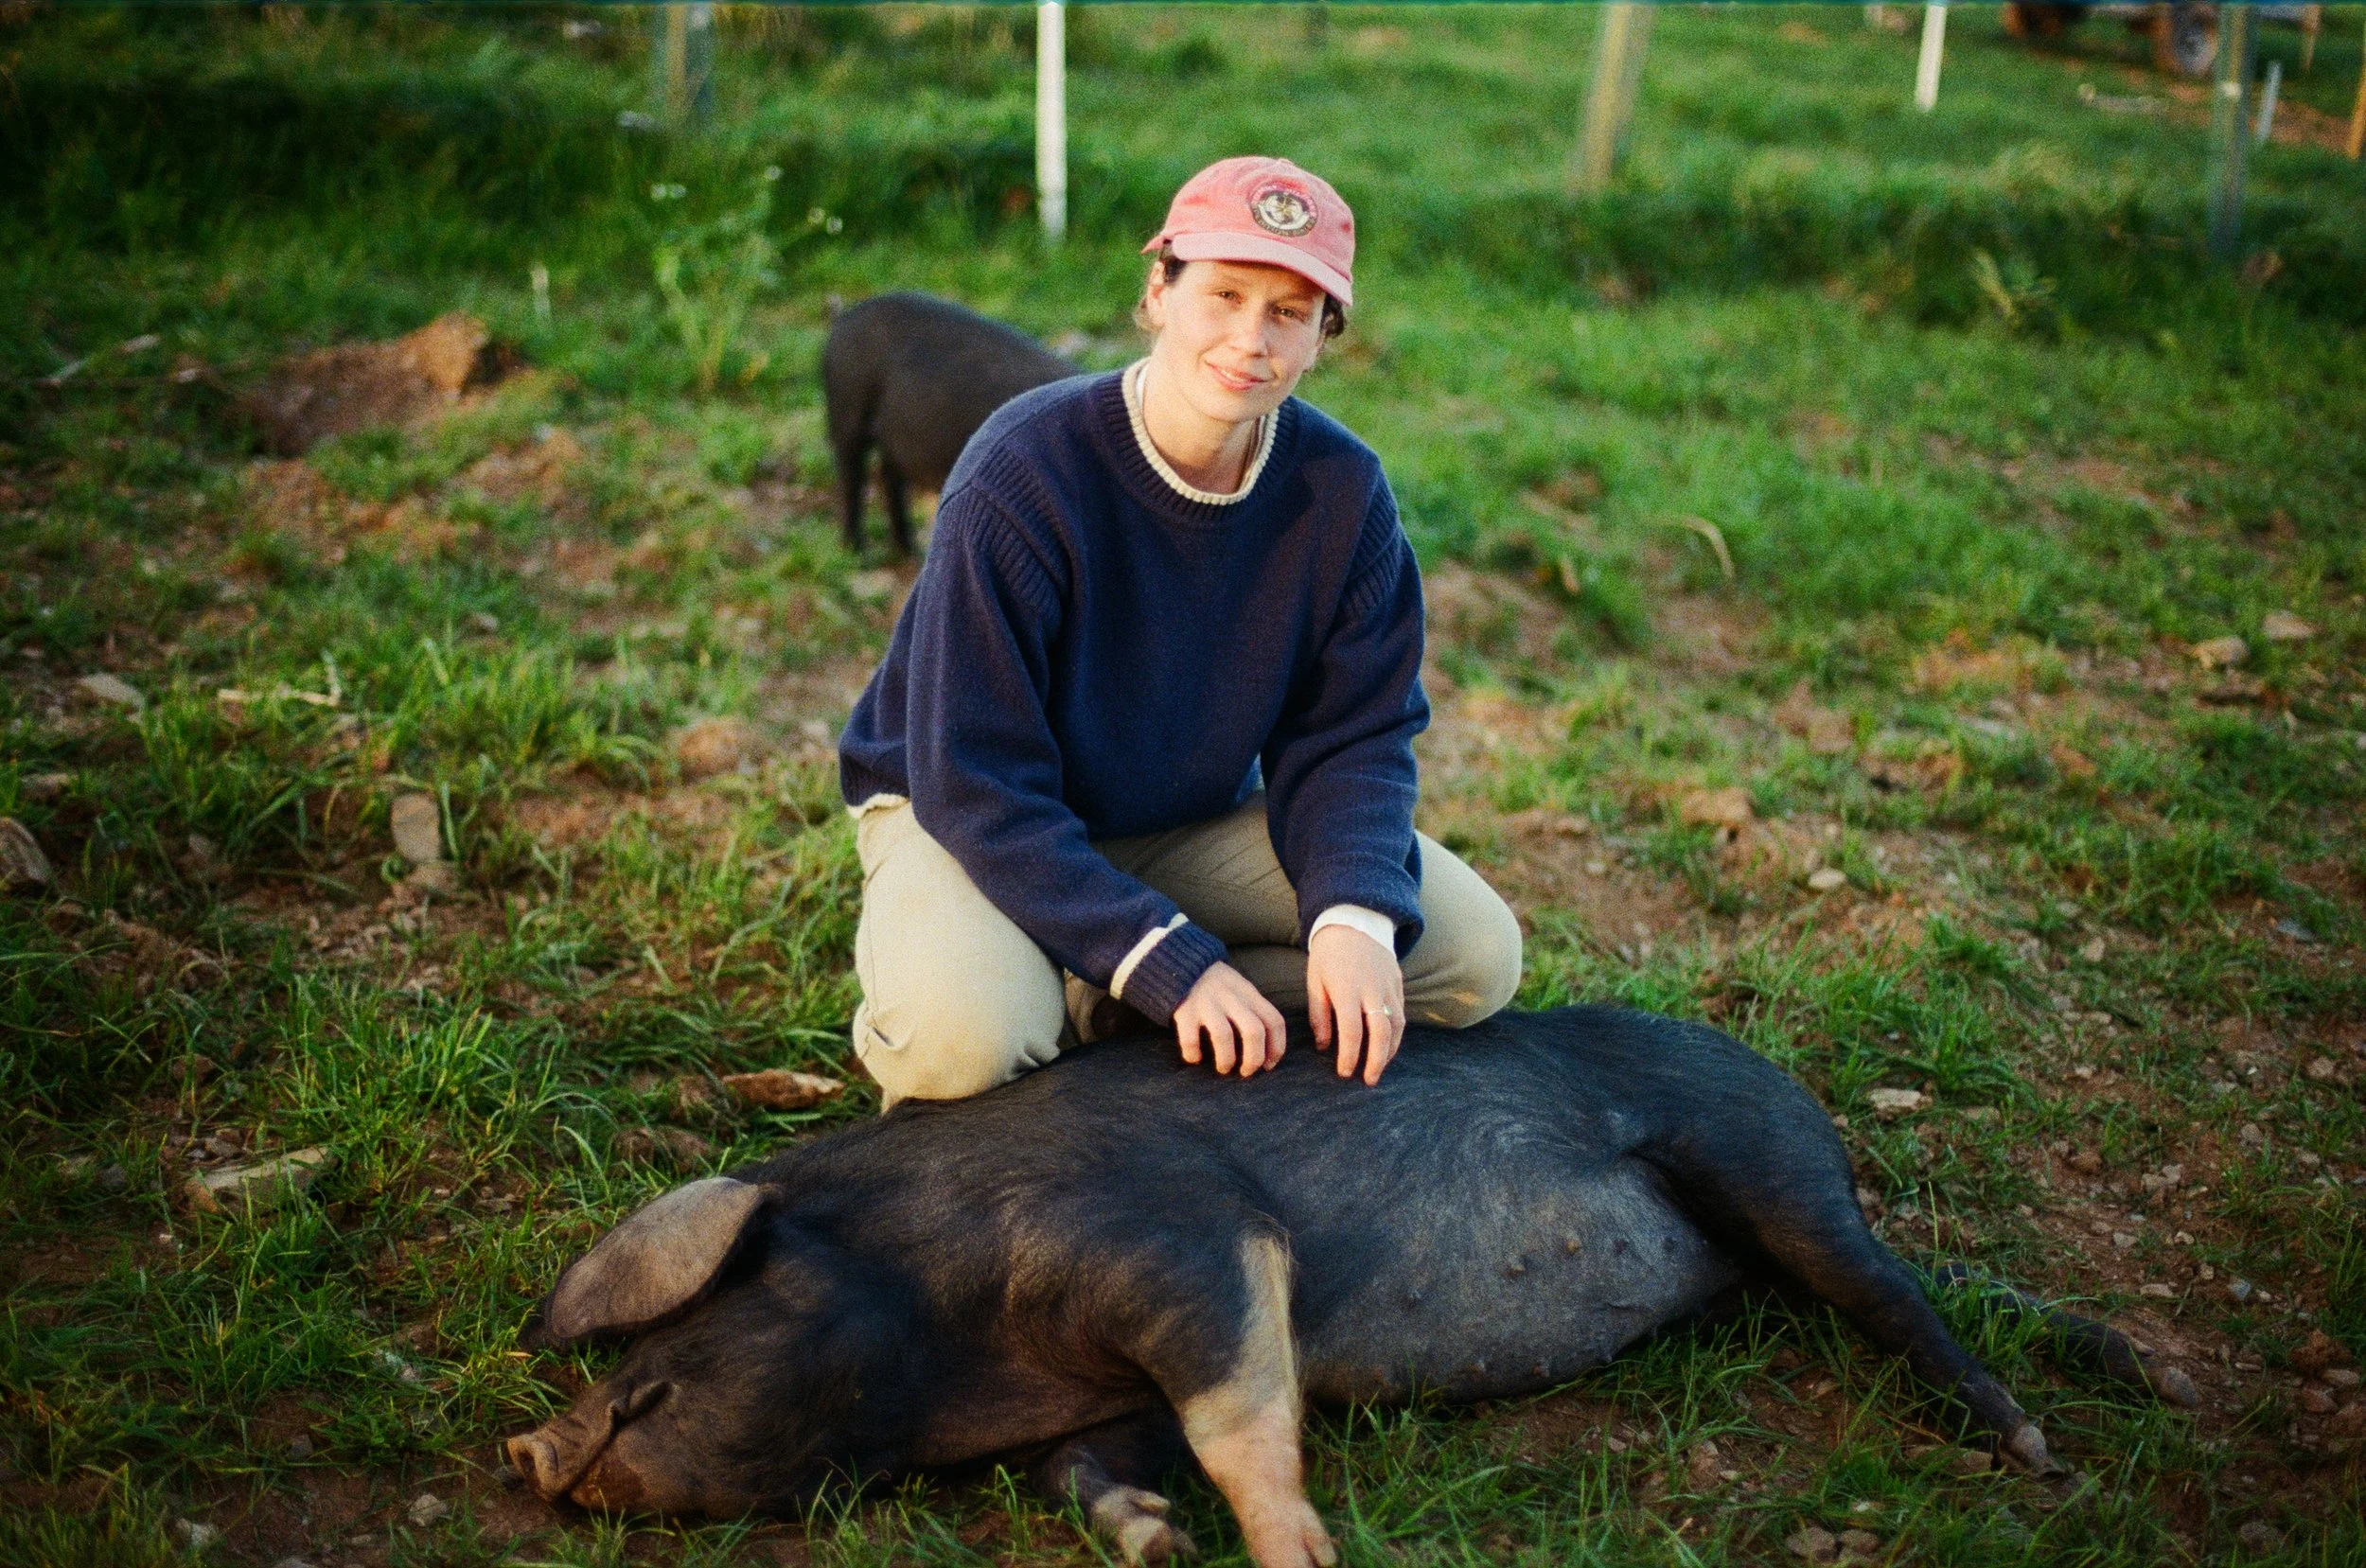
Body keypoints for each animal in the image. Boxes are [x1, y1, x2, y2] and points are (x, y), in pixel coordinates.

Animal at [507, 1005, 2194, 1567]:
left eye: (661, 1347)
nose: (528, 1449)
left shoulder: (1183, 1240)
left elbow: (1242, 1403)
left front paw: (1295, 1554)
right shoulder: (1098, 1383)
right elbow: (1088, 1465)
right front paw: (1151, 1539)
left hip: (1759, 1154)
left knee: (1902, 1299)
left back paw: (2039, 1445)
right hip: (1770, 1235)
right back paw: (2152, 1376)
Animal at [821, 292, 1076, 557]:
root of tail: (843, 319)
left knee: (889, 479)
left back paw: (908, 550)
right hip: (845, 408)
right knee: (851, 480)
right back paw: (856, 552)